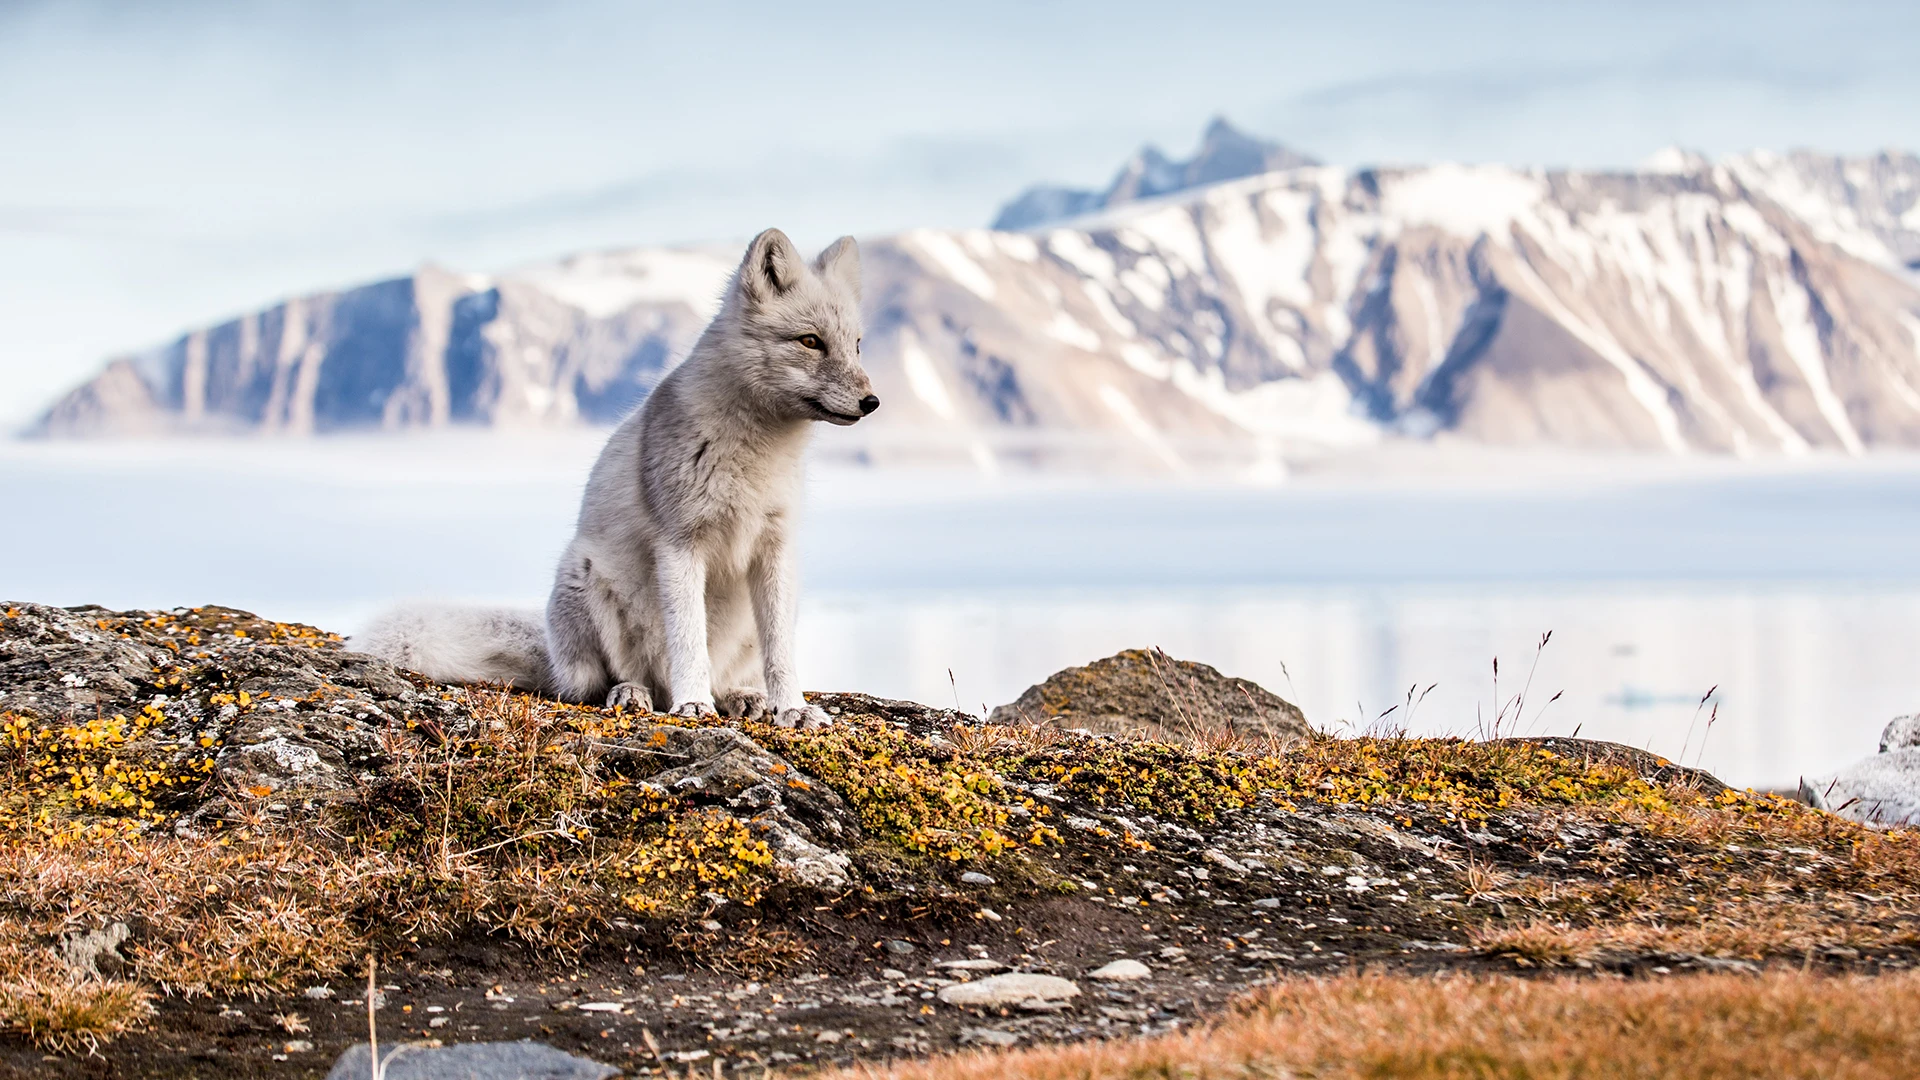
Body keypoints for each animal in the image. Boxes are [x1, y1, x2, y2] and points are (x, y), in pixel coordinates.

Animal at [351, 228, 877, 728]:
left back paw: (740, 697)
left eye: (856, 345)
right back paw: (636, 694)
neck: (758, 451)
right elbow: (688, 640)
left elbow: (781, 653)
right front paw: (692, 704)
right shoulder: (680, 544)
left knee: (727, 674)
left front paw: (794, 709)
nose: (872, 402)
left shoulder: (774, 547)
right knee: (597, 685)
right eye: (810, 341)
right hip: (585, 581)